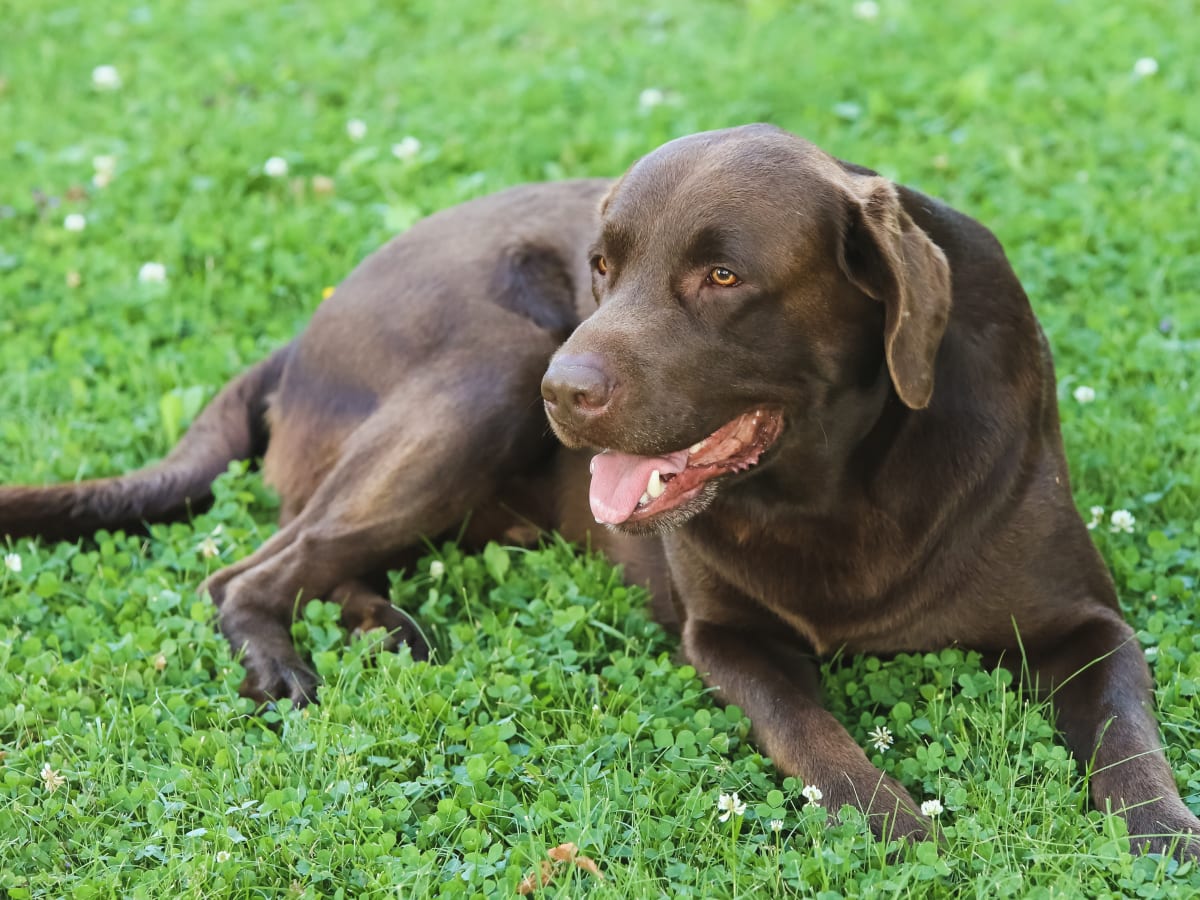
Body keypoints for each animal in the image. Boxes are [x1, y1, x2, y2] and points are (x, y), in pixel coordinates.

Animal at [4, 123, 1195, 854]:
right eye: (606, 268)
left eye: (723, 275)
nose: (563, 393)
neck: (838, 481)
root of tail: (298, 337)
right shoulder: (730, 641)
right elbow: (816, 740)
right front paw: (897, 828)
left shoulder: (1085, 621)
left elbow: (1130, 733)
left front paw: (1165, 836)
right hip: (482, 368)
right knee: (249, 571)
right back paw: (285, 661)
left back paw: (390, 627)